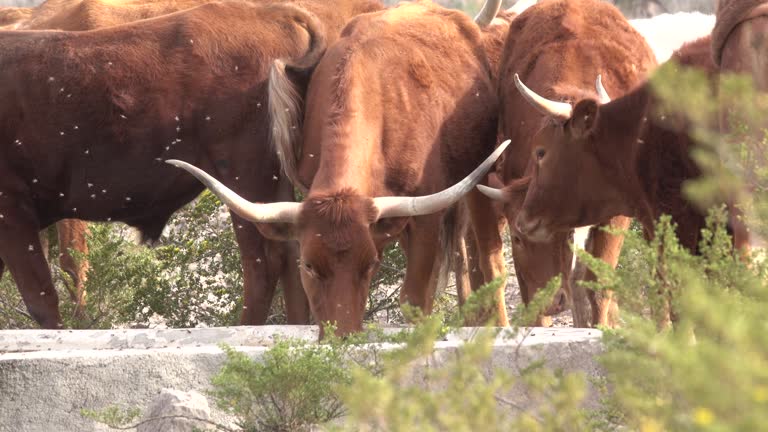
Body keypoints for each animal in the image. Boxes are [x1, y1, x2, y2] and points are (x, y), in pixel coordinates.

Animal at [0, 0, 390, 330]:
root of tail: (273, 14)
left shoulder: (15, 216)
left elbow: (41, 297)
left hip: (243, 177)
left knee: (264, 261)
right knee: (289, 252)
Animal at [171, 0, 512, 338]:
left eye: (369, 265)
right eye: (309, 265)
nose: (343, 336)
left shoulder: (427, 212)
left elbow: (415, 298)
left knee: (476, 259)